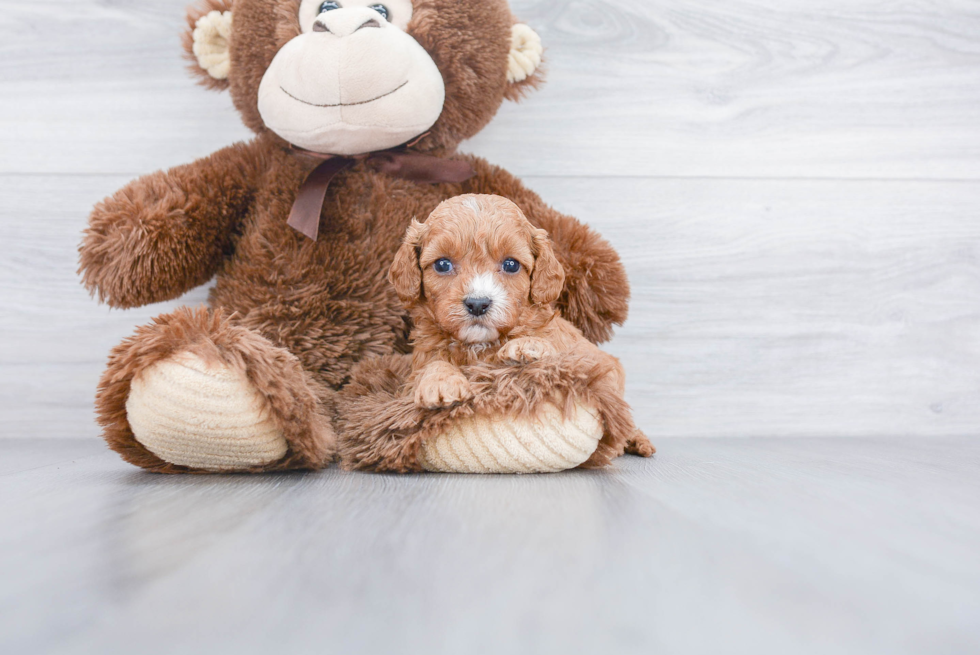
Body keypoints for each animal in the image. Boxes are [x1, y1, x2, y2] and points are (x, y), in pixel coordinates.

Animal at [386, 195, 656, 458]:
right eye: (442, 264)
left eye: (511, 265)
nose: (477, 304)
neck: (480, 344)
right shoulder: (415, 369)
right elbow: (430, 367)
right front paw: (440, 382)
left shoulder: (574, 355)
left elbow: (552, 348)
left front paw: (527, 346)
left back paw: (637, 440)